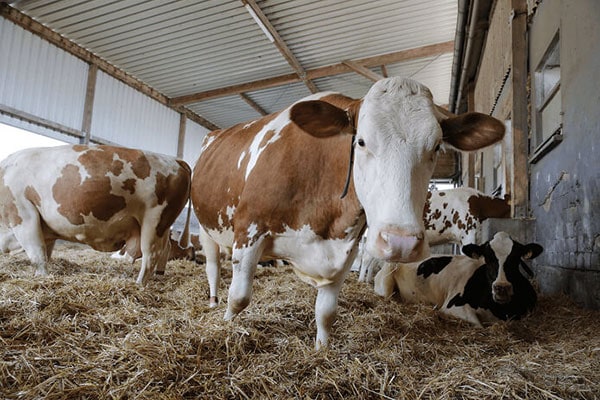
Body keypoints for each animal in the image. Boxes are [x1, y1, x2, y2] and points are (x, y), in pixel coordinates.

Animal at [0, 144, 191, 284]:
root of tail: (176, 160)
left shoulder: (23, 215)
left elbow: (37, 254)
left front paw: (42, 278)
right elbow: (46, 251)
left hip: (154, 222)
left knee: (150, 254)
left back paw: (138, 284)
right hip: (163, 226)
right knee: (165, 248)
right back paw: (159, 274)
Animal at [190, 76, 504, 348]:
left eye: (437, 146)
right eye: (361, 141)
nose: (400, 242)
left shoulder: (346, 246)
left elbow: (327, 312)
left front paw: (321, 350)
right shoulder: (250, 229)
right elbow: (239, 297)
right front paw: (227, 327)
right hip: (205, 227)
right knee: (213, 267)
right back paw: (213, 300)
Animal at [372, 231, 540, 324]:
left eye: (515, 258)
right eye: (488, 257)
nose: (502, 287)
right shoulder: (452, 306)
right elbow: (477, 323)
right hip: (385, 284)